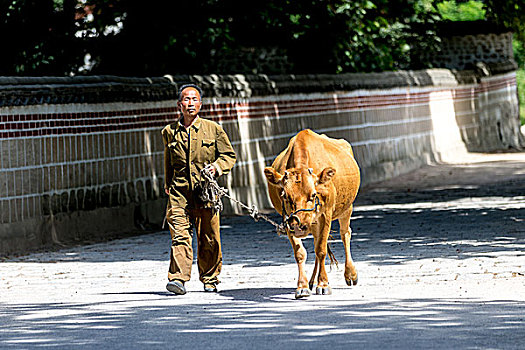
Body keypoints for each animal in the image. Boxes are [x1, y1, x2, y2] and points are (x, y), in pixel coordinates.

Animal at [264, 129, 358, 298]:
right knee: (316, 241)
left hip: (347, 208)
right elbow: (300, 253)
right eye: (284, 196)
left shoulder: (326, 214)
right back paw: (312, 281)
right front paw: (302, 286)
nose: (299, 226)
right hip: (313, 222)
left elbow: (321, 250)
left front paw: (324, 284)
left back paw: (350, 274)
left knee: (345, 234)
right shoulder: (287, 219)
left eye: (313, 194)